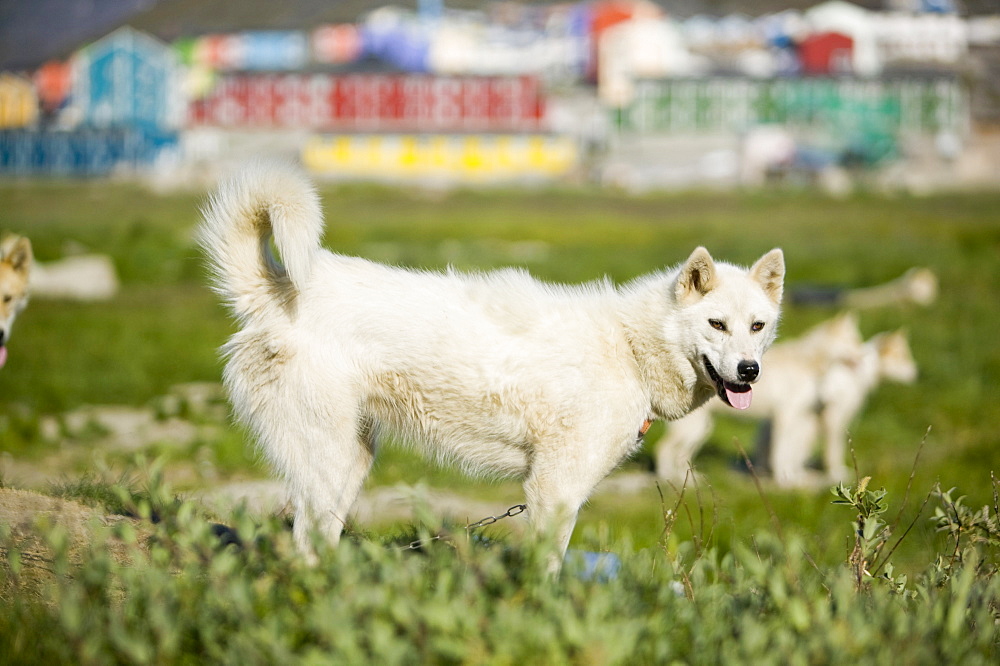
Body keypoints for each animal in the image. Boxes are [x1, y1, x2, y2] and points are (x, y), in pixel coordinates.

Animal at [199, 162, 784, 564]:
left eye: (757, 327)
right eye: (716, 325)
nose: (749, 372)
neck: (628, 346)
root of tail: (274, 293)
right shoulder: (554, 489)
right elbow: (549, 566)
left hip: (350, 460)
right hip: (328, 457)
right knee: (304, 542)